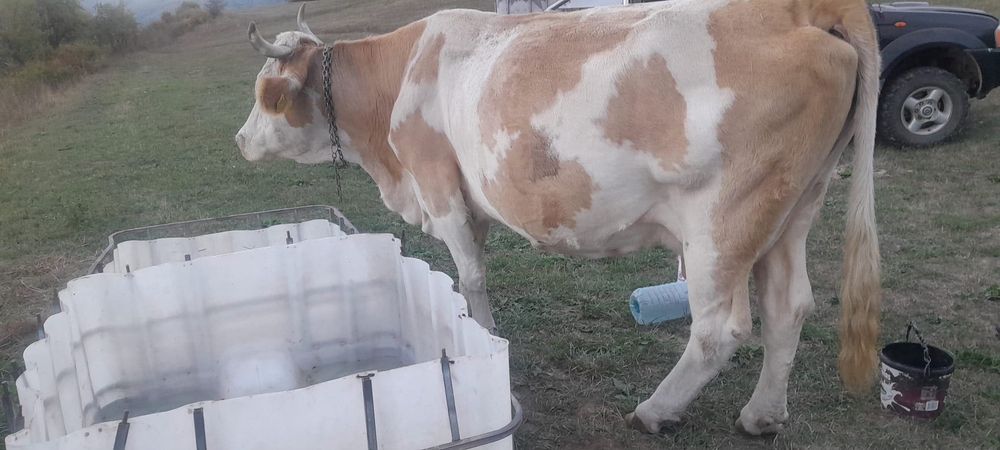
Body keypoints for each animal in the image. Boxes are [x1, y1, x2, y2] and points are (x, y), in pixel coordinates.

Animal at [235, 0, 882, 435]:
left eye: (268, 92)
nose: (240, 139)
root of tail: (794, 10)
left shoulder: (441, 188)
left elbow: (471, 277)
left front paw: (487, 334)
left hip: (722, 223)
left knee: (719, 329)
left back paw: (655, 411)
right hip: (794, 208)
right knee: (788, 308)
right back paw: (761, 416)